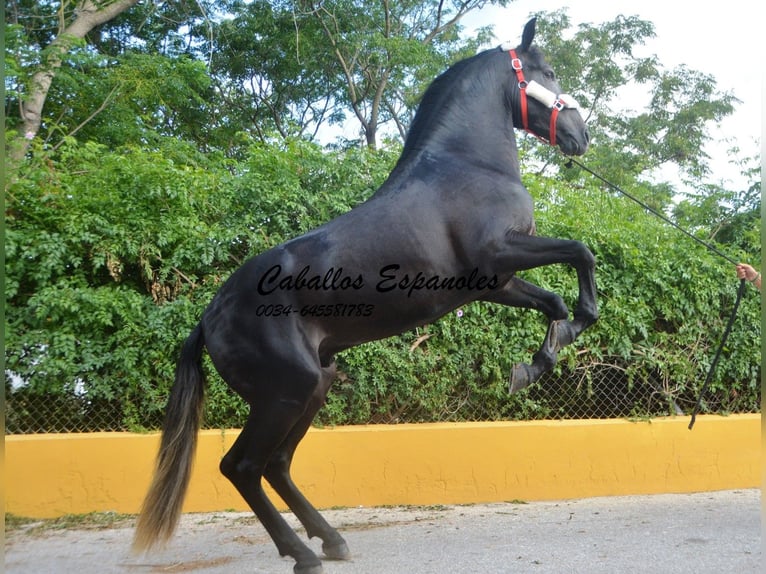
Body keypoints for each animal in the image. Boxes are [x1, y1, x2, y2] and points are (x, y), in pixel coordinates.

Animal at [134, 18, 600, 574]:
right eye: (546, 72)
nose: (581, 135)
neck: (466, 166)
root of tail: (210, 317)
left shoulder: (496, 282)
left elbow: (554, 302)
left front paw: (535, 362)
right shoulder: (500, 255)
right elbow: (581, 252)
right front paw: (561, 339)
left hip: (312, 387)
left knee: (277, 464)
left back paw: (330, 540)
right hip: (285, 393)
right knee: (243, 466)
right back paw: (303, 553)